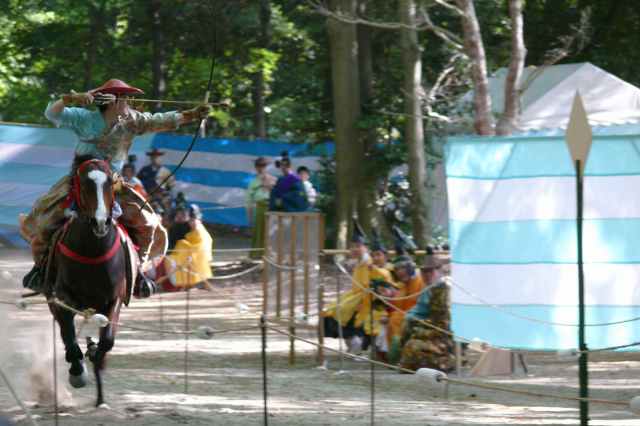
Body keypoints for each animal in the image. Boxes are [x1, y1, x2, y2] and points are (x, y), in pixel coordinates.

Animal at [47, 155, 138, 408]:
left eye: (109, 183)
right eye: (84, 184)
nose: (100, 223)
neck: (92, 253)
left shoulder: (114, 298)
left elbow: (107, 341)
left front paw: (95, 354)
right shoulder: (62, 297)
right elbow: (68, 335)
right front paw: (77, 371)